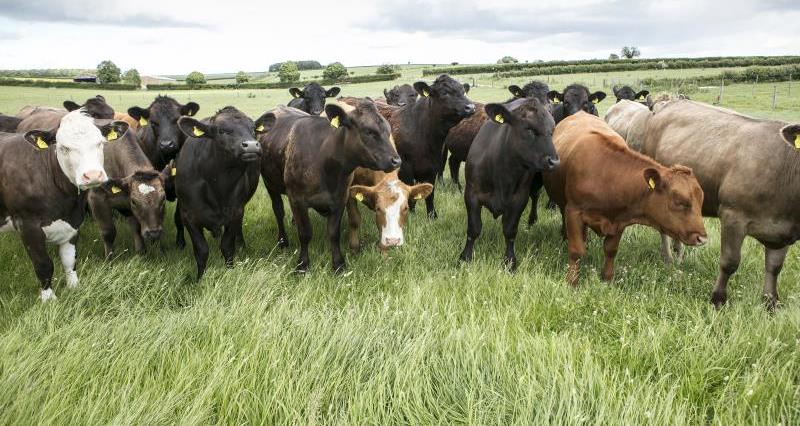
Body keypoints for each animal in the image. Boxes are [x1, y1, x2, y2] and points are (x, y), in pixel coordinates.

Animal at [0, 110, 126, 302]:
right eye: (64, 148)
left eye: (100, 143)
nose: (93, 175)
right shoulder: (27, 224)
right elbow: (43, 264)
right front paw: (48, 299)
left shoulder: (74, 221)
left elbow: (69, 259)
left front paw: (74, 287)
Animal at [173, 106, 268, 280]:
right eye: (222, 130)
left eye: (253, 129)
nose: (251, 145)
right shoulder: (189, 216)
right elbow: (201, 250)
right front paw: (200, 279)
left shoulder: (235, 212)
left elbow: (227, 246)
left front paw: (230, 272)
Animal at [460, 99, 560, 270]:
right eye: (529, 129)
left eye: (552, 130)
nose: (554, 161)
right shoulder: (471, 194)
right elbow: (474, 228)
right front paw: (465, 257)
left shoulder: (519, 200)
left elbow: (510, 230)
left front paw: (510, 261)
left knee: (535, 196)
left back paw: (532, 220)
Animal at [544, 112, 708, 286]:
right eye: (679, 201)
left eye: (700, 202)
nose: (702, 238)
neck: (606, 174)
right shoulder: (574, 212)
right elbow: (576, 250)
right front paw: (572, 282)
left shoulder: (620, 220)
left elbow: (611, 250)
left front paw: (607, 279)